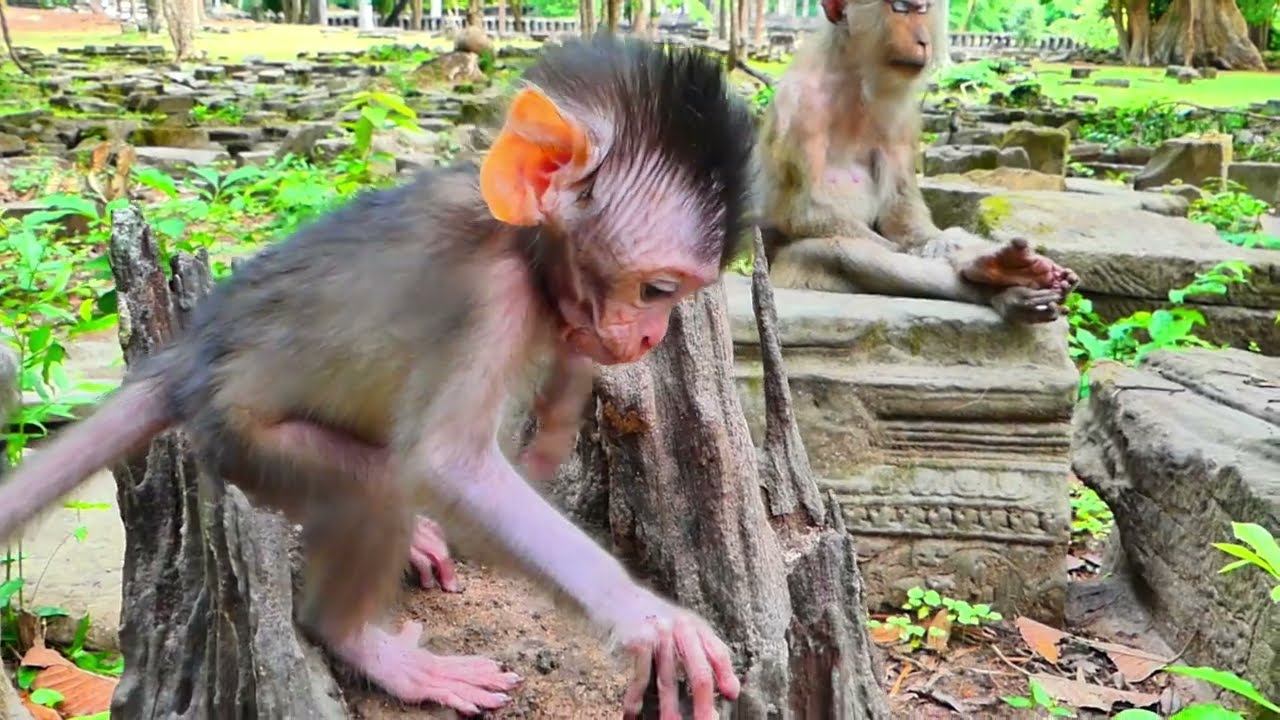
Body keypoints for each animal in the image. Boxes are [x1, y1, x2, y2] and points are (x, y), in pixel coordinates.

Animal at [0, 36, 751, 718]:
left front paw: (560, 418)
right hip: (243, 442)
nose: (652, 335)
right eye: (657, 289)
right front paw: (650, 620)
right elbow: (450, 467)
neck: (520, 244)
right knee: (377, 484)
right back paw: (363, 644)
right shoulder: (490, 299)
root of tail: (193, 358)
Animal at [754, 0, 1079, 324]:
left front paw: (943, 245)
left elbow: (900, 209)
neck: (854, 79)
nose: (923, 41)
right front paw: (961, 258)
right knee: (840, 252)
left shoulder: (901, 116)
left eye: (921, 9)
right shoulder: (800, 107)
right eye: (900, 8)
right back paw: (996, 277)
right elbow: (806, 212)